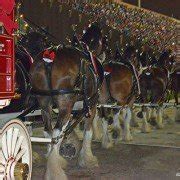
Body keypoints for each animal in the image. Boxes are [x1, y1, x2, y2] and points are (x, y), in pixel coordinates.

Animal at [29, 22, 104, 177]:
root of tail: (50, 59)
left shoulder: (74, 107)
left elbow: (68, 129)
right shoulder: (91, 104)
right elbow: (88, 131)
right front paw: (87, 158)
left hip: (44, 103)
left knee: (49, 131)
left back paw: (53, 159)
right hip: (65, 103)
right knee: (56, 132)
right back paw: (55, 170)